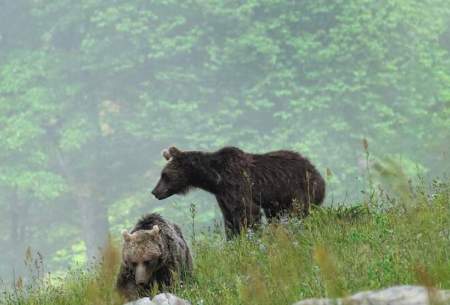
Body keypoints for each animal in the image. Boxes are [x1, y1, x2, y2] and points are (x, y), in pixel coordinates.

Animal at [153, 147, 326, 238]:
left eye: (164, 175)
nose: (154, 192)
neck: (216, 179)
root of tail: (316, 171)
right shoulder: (223, 197)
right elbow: (229, 219)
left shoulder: (237, 186)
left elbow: (248, 213)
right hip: (278, 201)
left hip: (299, 190)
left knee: (301, 212)